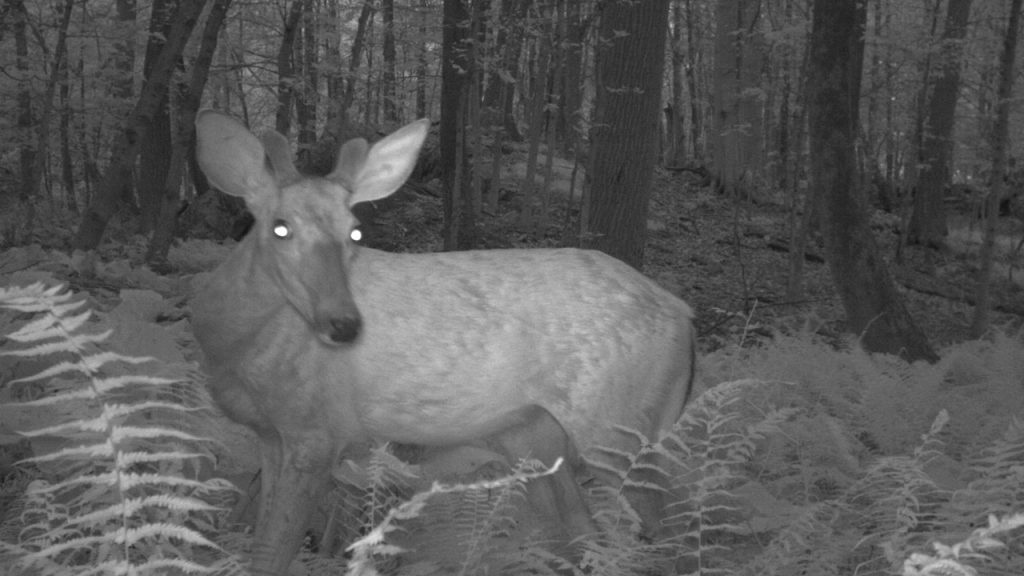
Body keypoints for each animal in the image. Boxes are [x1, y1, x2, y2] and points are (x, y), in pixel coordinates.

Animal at [191, 110, 697, 576]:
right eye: (280, 226)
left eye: (355, 230)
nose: (344, 325)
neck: (235, 346)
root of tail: (683, 313)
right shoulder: (269, 436)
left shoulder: (317, 432)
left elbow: (272, 554)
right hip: (533, 435)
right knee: (584, 533)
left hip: (618, 422)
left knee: (673, 532)